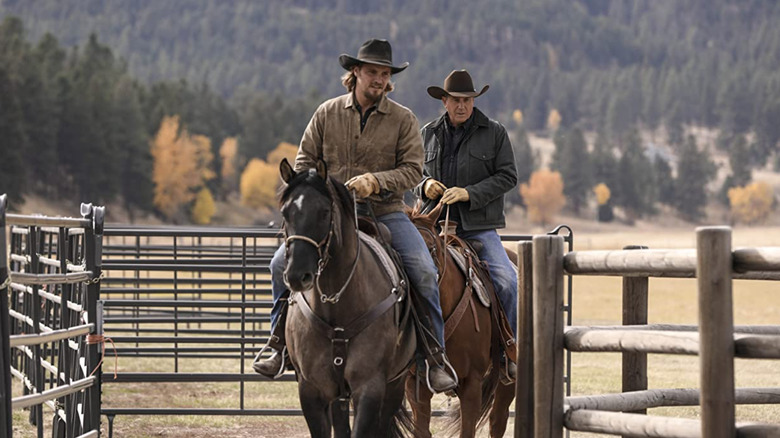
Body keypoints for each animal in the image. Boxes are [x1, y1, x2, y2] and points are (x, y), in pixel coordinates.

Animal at [278, 158, 418, 438]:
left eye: (324, 212)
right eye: (285, 213)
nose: (298, 275)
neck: (337, 305)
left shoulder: (370, 388)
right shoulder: (311, 389)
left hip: (394, 385)